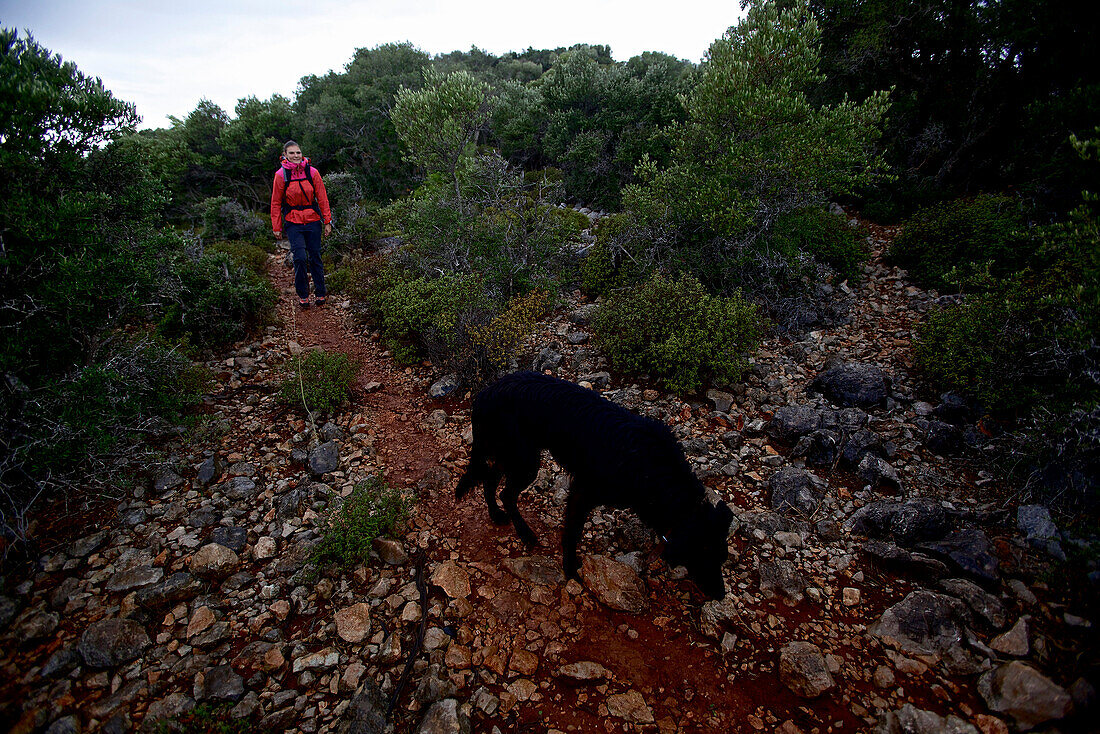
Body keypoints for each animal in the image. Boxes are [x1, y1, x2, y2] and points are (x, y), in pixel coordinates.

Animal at [451, 369, 734, 598]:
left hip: (511, 455)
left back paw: (496, 515)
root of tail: (485, 393)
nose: (720, 595)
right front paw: (571, 571)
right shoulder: (582, 493)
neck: (652, 470)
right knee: (506, 493)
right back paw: (525, 534)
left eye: (723, 559)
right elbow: (571, 534)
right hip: (524, 461)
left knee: (490, 479)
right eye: (704, 555)